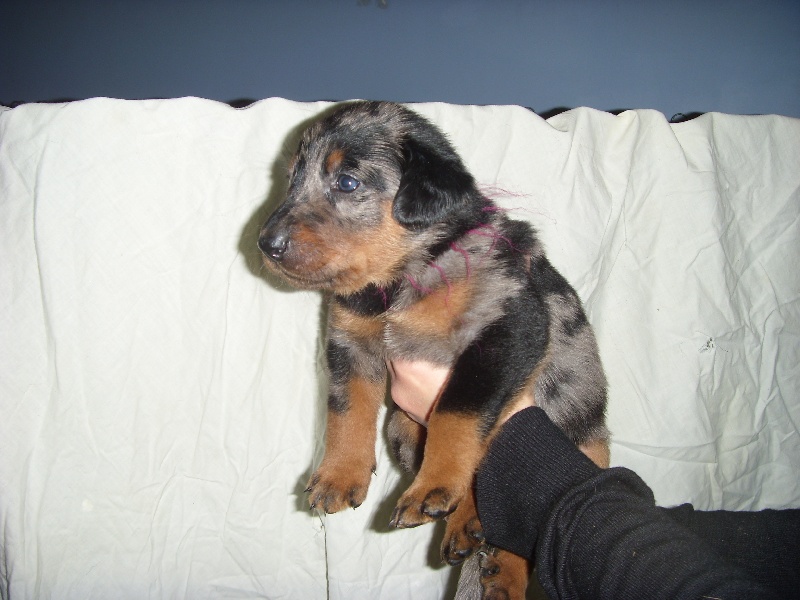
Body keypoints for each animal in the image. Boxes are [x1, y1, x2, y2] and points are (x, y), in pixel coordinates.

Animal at [256, 101, 608, 596]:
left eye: (347, 182)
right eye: (291, 179)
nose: (265, 244)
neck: (400, 279)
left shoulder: (509, 329)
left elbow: (456, 415)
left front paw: (432, 488)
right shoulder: (350, 343)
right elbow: (346, 409)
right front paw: (339, 474)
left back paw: (494, 563)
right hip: (401, 432)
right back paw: (472, 536)